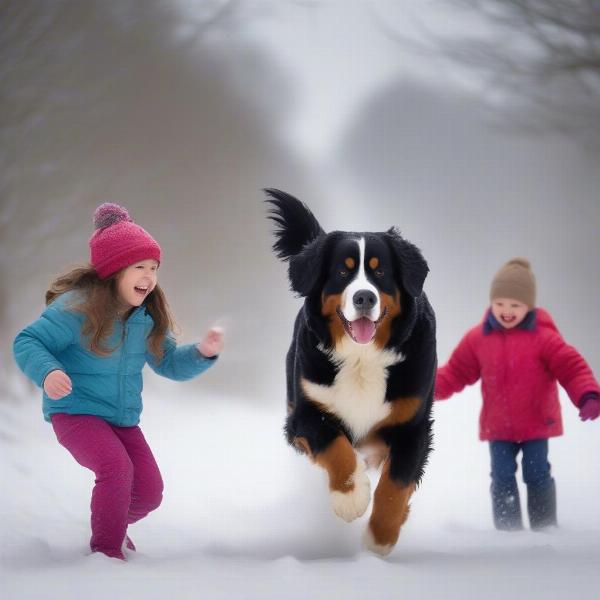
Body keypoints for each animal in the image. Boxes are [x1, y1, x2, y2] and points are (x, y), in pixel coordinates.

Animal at [268, 190, 436, 556]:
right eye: (342, 273)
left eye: (380, 271)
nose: (363, 297)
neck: (361, 359)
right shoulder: (305, 413)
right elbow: (335, 446)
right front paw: (351, 497)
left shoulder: (413, 425)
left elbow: (396, 484)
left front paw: (380, 538)